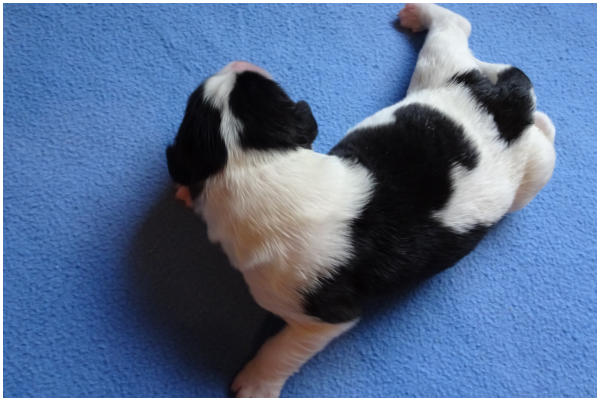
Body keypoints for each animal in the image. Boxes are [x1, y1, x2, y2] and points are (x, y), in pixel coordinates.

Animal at [166, 4, 556, 397]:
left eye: (267, 89)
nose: (238, 63)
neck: (251, 163)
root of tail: (504, 107)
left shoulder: (322, 318)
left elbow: (282, 349)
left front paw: (256, 383)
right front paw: (185, 192)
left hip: (531, 171)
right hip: (439, 73)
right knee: (468, 47)